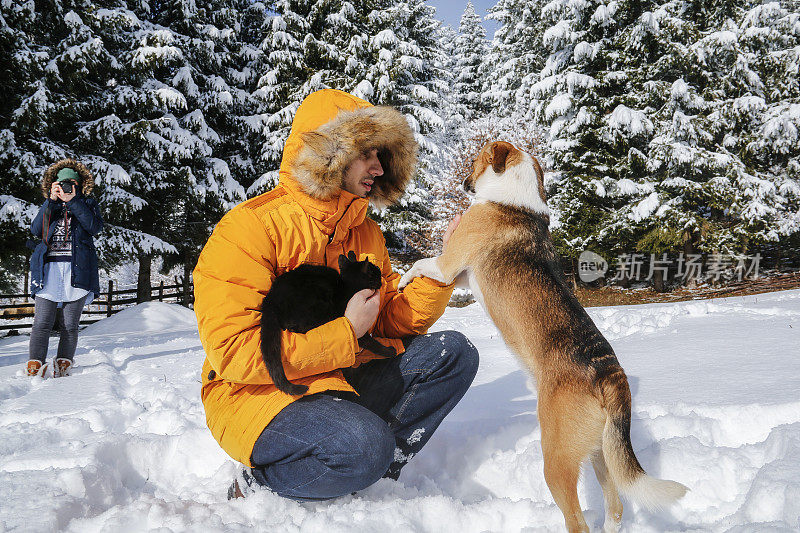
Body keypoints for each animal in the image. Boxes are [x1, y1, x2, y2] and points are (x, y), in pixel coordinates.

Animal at [260, 250, 396, 394]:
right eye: (377, 274)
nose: (381, 281)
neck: (347, 286)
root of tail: (270, 300)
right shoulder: (356, 327)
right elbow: (372, 343)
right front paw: (389, 351)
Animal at [400, 141, 688, 532]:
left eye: (473, 162)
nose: (463, 183)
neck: (514, 201)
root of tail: (608, 372)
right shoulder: (459, 278)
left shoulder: (447, 268)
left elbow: (417, 265)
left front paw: (400, 280)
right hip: (599, 451)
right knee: (615, 508)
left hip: (556, 459)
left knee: (578, 521)